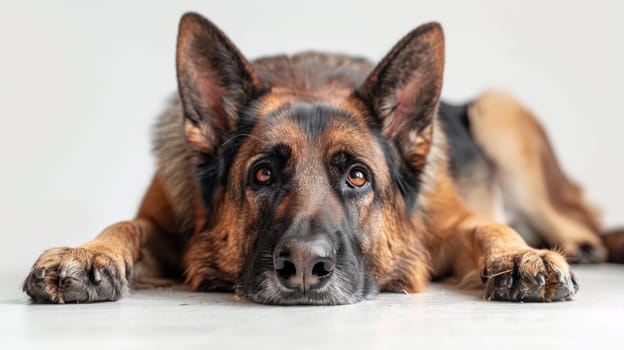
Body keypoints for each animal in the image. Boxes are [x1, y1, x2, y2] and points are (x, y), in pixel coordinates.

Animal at [23, 13, 624, 304]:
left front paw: (522, 256)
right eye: (263, 174)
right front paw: (86, 253)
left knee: (581, 225)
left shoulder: (449, 227)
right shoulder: (164, 222)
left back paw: (583, 245)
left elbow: (487, 227)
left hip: (500, 109)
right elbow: (127, 225)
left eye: (357, 177)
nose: (304, 269)